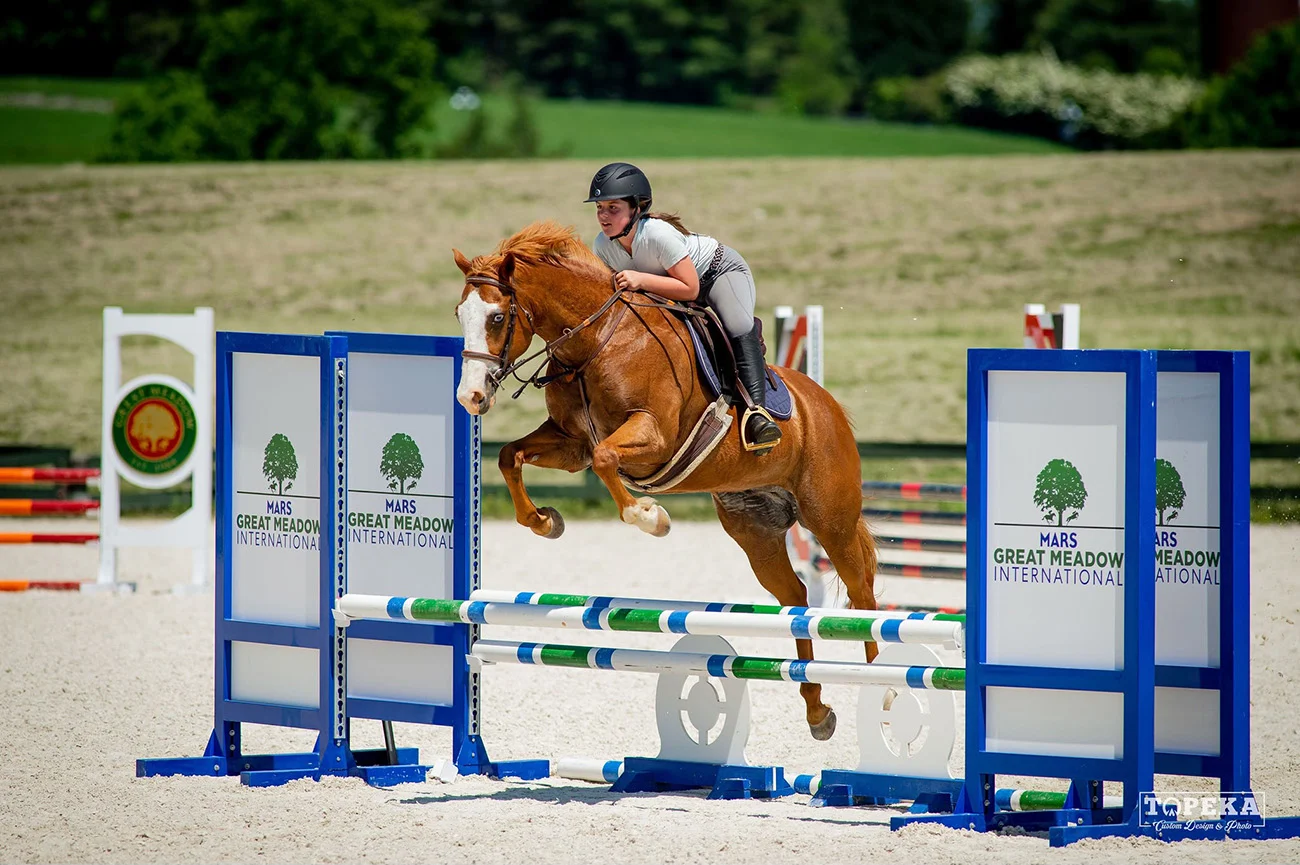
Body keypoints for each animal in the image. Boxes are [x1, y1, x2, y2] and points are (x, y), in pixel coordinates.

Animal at [449, 219, 883, 738]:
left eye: (497, 318)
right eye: (460, 314)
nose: (470, 397)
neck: (596, 340)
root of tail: (827, 405)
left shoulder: (653, 438)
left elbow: (606, 459)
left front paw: (650, 516)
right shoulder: (570, 444)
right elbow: (510, 456)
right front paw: (544, 521)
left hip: (830, 517)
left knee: (862, 595)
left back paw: (887, 690)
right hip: (755, 530)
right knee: (796, 599)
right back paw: (817, 710)